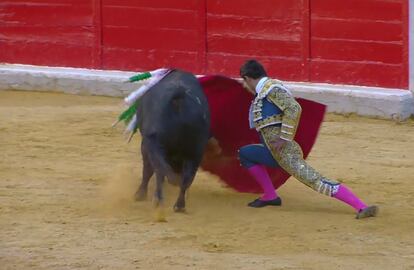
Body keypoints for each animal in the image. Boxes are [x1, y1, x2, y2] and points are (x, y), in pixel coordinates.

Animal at [134, 69, 210, 213]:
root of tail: (179, 97)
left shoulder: (146, 145)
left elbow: (148, 170)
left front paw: (140, 194)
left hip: (154, 145)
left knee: (159, 170)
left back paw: (157, 200)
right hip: (196, 151)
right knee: (187, 177)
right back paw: (179, 205)